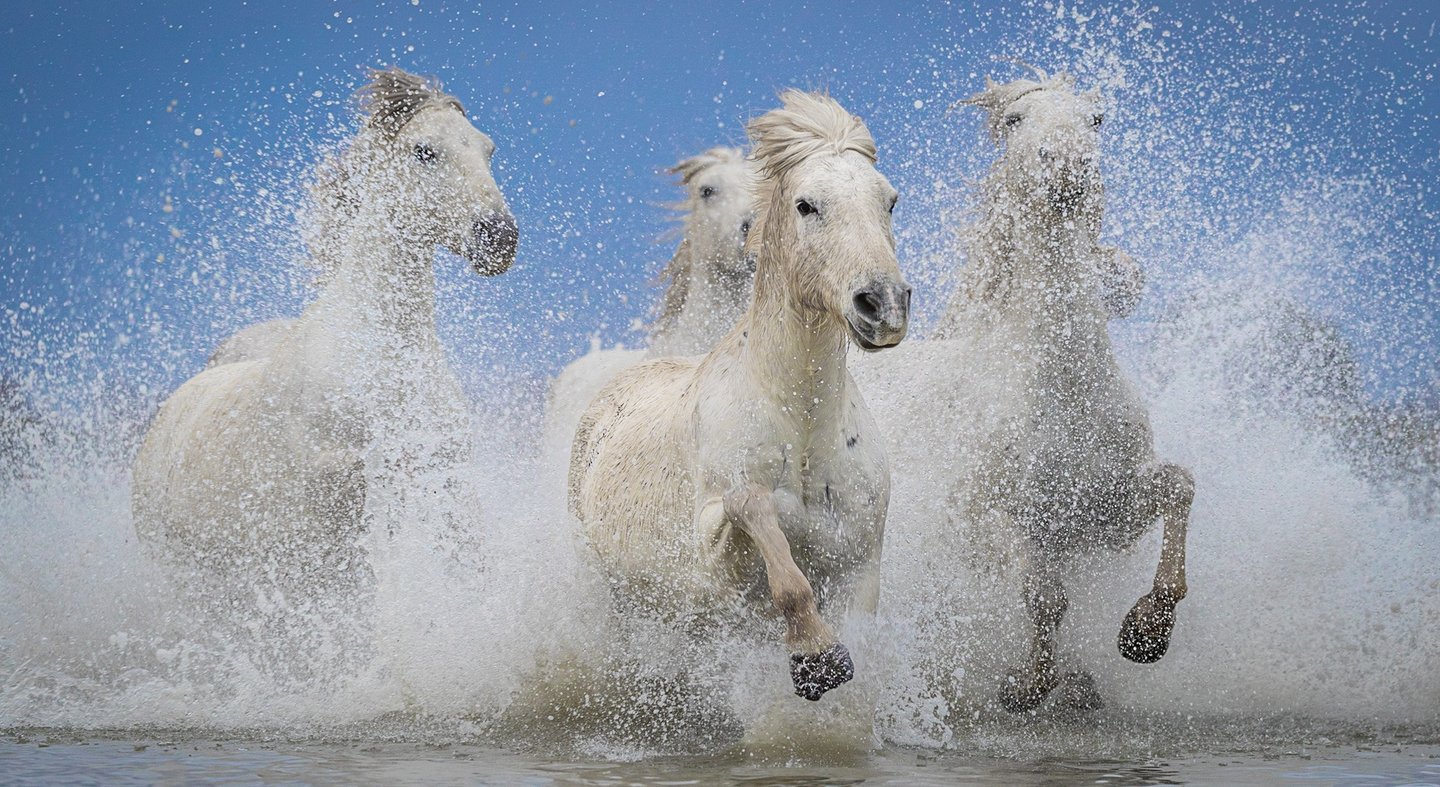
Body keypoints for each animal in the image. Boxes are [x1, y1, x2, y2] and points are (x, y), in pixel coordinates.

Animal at [132, 68, 518, 595]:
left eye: (487, 149)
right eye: (424, 151)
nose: (498, 237)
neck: (383, 353)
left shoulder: (447, 471)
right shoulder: (333, 474)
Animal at [568, 90, 910, 702]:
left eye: (889, 200)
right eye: (806, 205)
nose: (884, 304)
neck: (801, 427)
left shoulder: (860, 569)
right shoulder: (711, 562)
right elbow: (752, 506)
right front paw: (816, 656)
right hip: (620, 597)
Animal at [856, 71, 1189, 715]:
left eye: (1096, 120)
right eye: (1015, 120)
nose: (1067, 166)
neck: (1062, 388)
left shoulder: (1106, 513)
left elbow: (1180, 488)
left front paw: (1146, 632)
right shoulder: (987, 522)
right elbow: (1044, 595)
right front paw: (1024, 686)